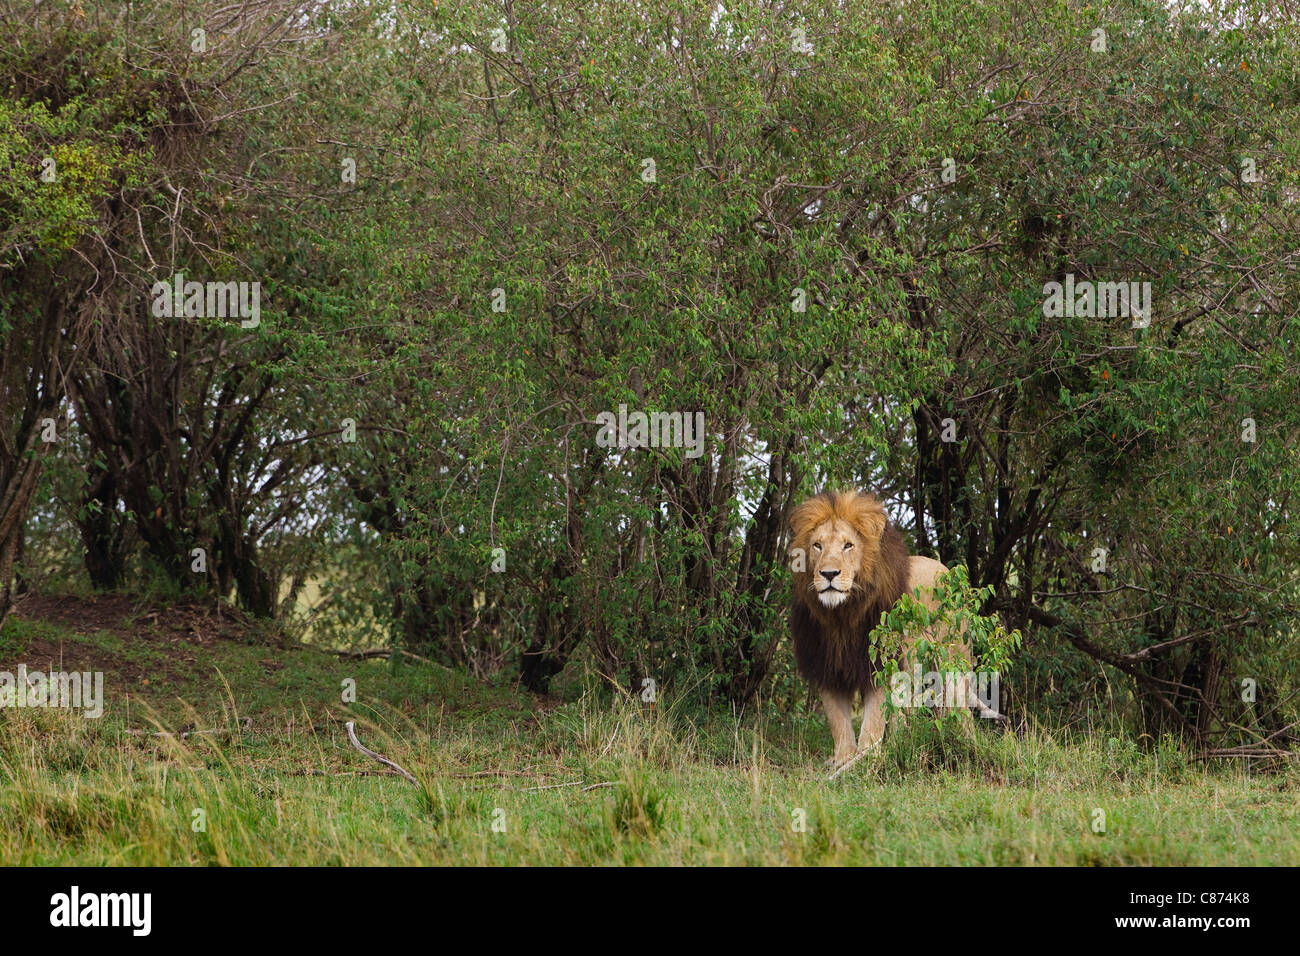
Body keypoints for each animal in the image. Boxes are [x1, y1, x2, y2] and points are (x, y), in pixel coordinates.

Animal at [788, 489, 988, 766]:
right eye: (817, 545)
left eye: (848, 545)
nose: (829, 574)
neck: (842, 616)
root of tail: (944, 567)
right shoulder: (827, 668)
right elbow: (839, 725)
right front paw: (843, 761)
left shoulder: (881, 664)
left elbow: (872, 723)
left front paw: (866, 760)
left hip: (954, 659)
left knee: (961, 711)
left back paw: (968, 748)